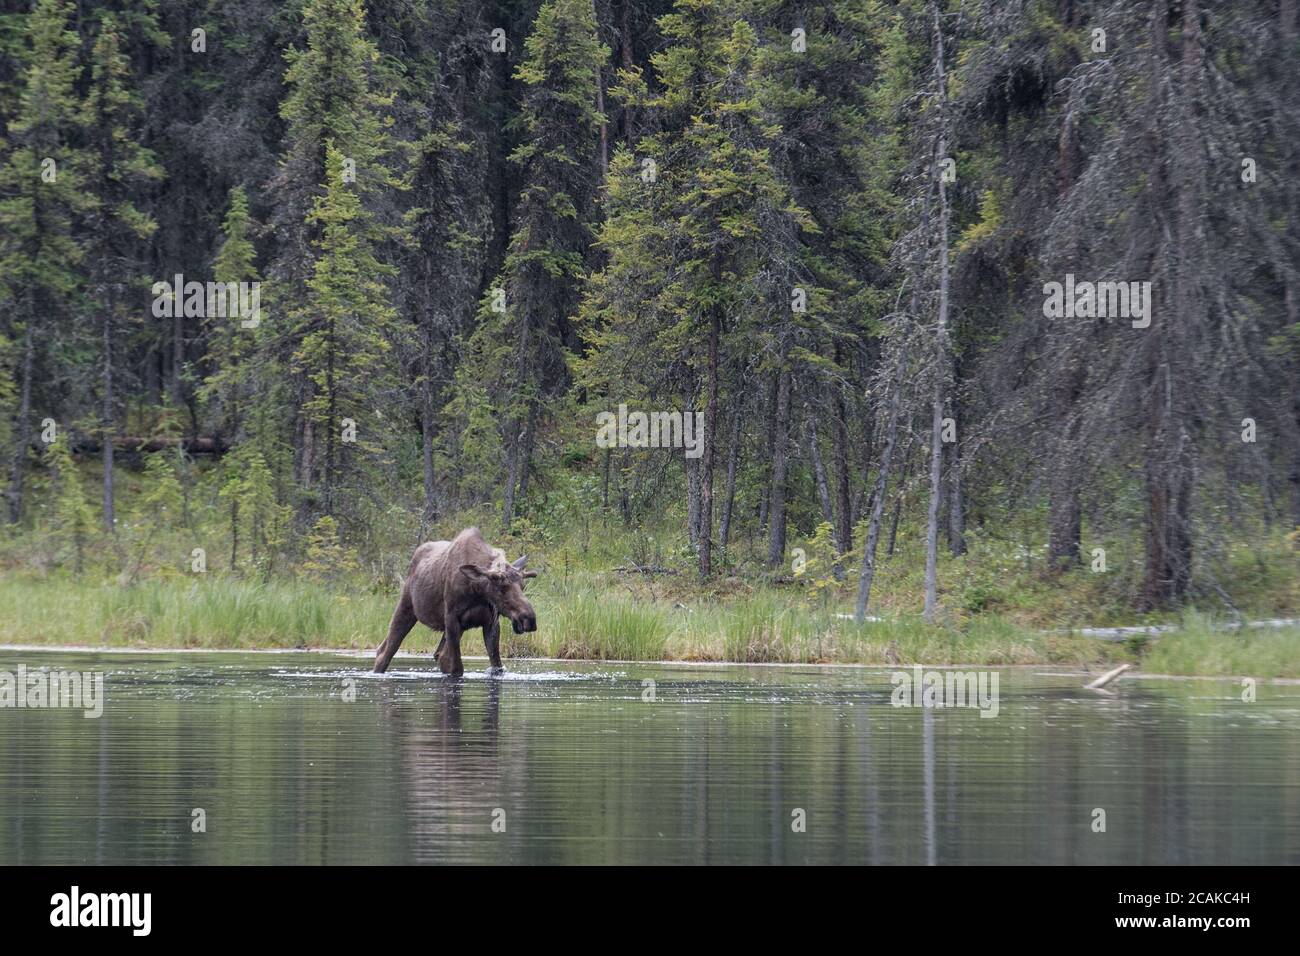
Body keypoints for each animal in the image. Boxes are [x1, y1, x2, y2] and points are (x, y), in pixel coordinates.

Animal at [374, 528, 535, 676]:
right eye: (501, 587)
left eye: (523, 586)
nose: (529, 619)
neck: (477, 592)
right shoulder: (451, 617)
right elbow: (456, 668)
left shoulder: (491, 622)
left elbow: (497, 667)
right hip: (406, 606)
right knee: (385, 652)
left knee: (438, 654)